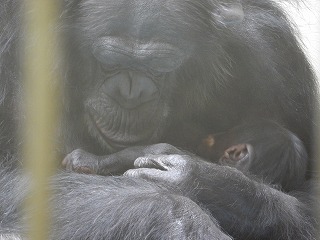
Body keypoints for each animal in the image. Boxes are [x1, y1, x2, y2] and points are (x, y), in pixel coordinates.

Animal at [0, 0, 316, 239]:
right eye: (109, 62)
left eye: (161, 66)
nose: (131, 93)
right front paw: (177, 217)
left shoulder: (272, 53)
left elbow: (308, 193)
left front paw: (202, 181)